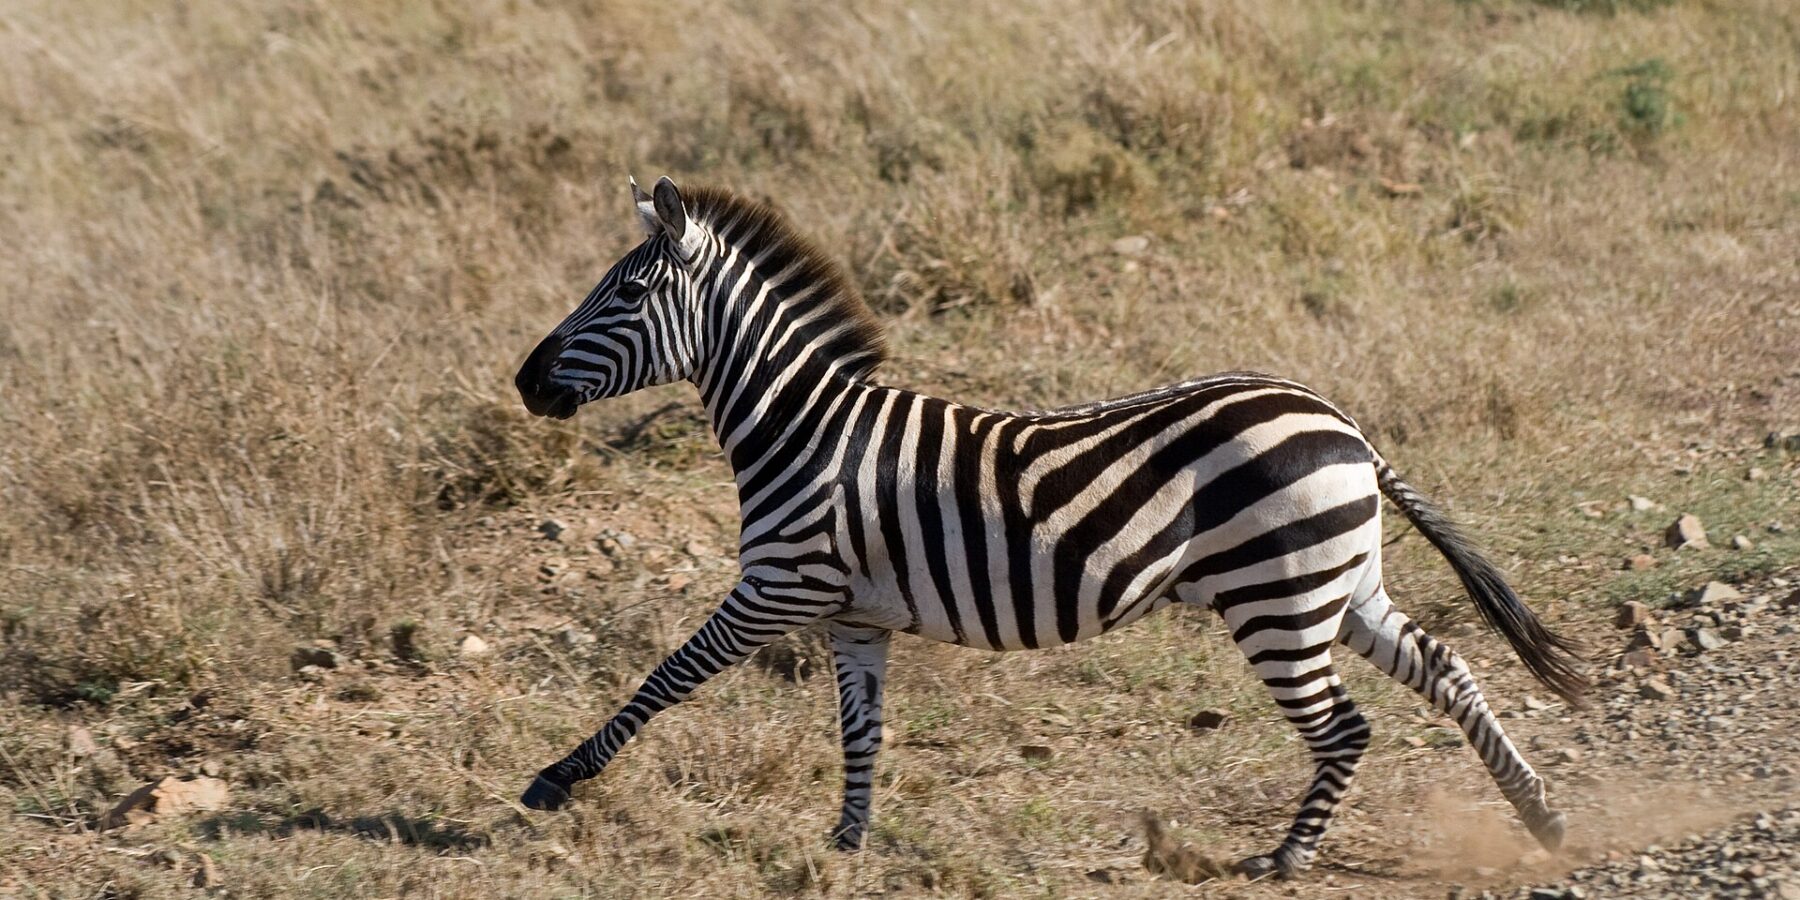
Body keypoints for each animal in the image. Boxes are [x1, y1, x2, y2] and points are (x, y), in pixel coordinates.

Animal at [511, 176, 1587, 879]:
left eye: (628, 292)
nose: (524, 382)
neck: (805, 428)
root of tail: (1345, 424)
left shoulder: (779, 587)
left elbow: (664, 679)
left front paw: (557, 781)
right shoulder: (853, 616)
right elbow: (861, 731)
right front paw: (847, 844)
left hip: (1277, 600)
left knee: (1345, 726)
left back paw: (1287, 858)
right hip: (1335, 585)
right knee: (1447, 668)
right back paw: (1538, 815)